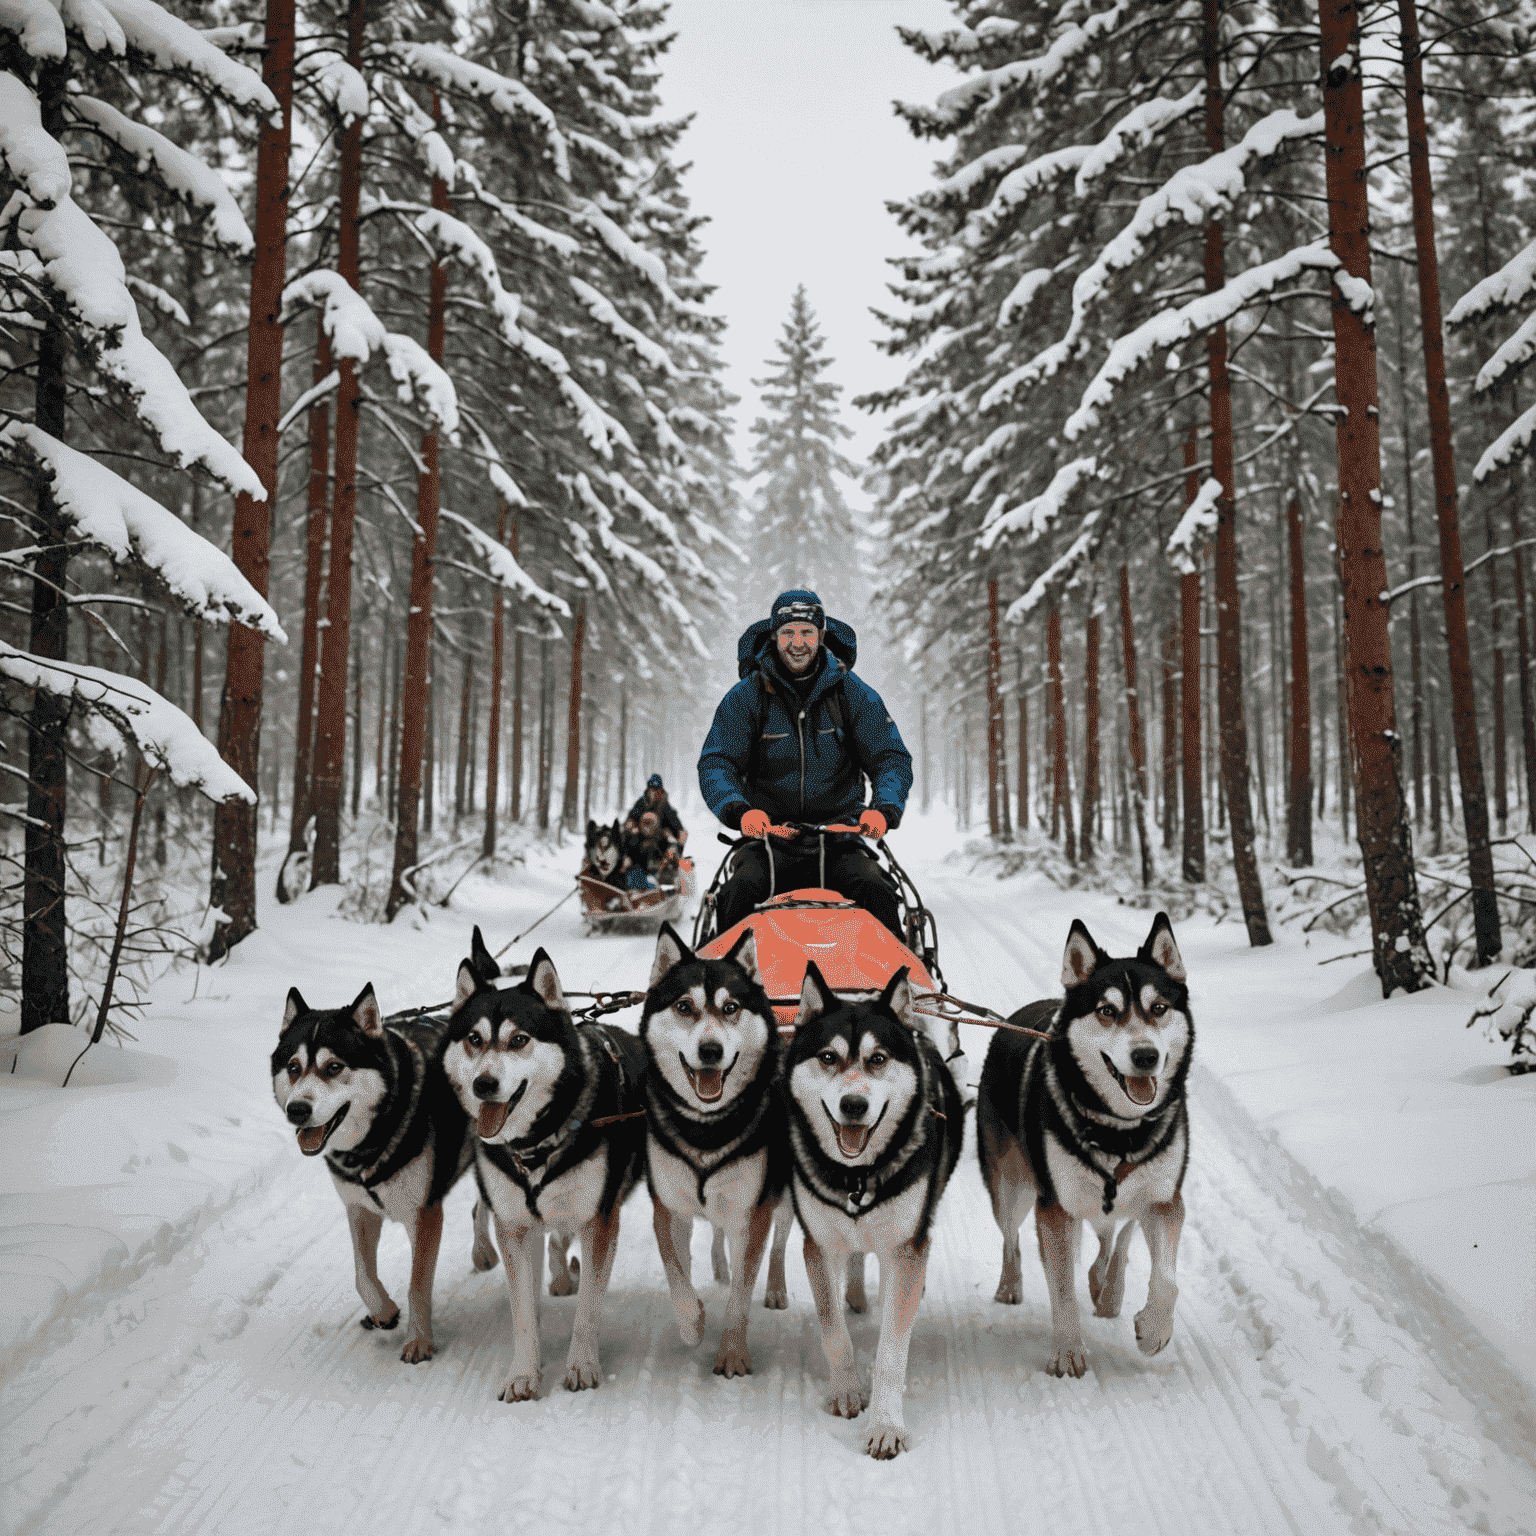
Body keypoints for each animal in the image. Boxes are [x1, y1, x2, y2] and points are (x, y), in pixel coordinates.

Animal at [442, 940, 645, 1400]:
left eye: (519, 1039)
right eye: (474, 1039)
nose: (484, 1084)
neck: (535, 1143)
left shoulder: (598, 1221)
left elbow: (588, 1308)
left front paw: (582, 1366)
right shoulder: (515, 1227)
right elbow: (521, 1311)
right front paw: (523, 1373)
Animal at [638, 915, 786, 1376]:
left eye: (731, 1007)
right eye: (684, 1006)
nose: (710, 1050)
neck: (705, 1128)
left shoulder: (750, 1214)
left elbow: (741, 1292)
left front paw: (733, 1352)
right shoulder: (669, 1209)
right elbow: (677, 1277)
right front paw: (693, 1323)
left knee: (779, 1243)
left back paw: (776, 1287)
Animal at [976, 909, 1191, 1382]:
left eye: (1159, 1008)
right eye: (1107, 1011)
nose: (1145, 1056)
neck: (1119, 1131)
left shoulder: (1163, 1199)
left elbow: (1168, 1278)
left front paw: (1153, 1330)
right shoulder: (1055, 1206)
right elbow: (1062, 1288)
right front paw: (1068, 1351)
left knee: (1115, 1236)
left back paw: (1107, 1290)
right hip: (1012, 1188)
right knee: (1011, 1238)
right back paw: (1010, 1285)